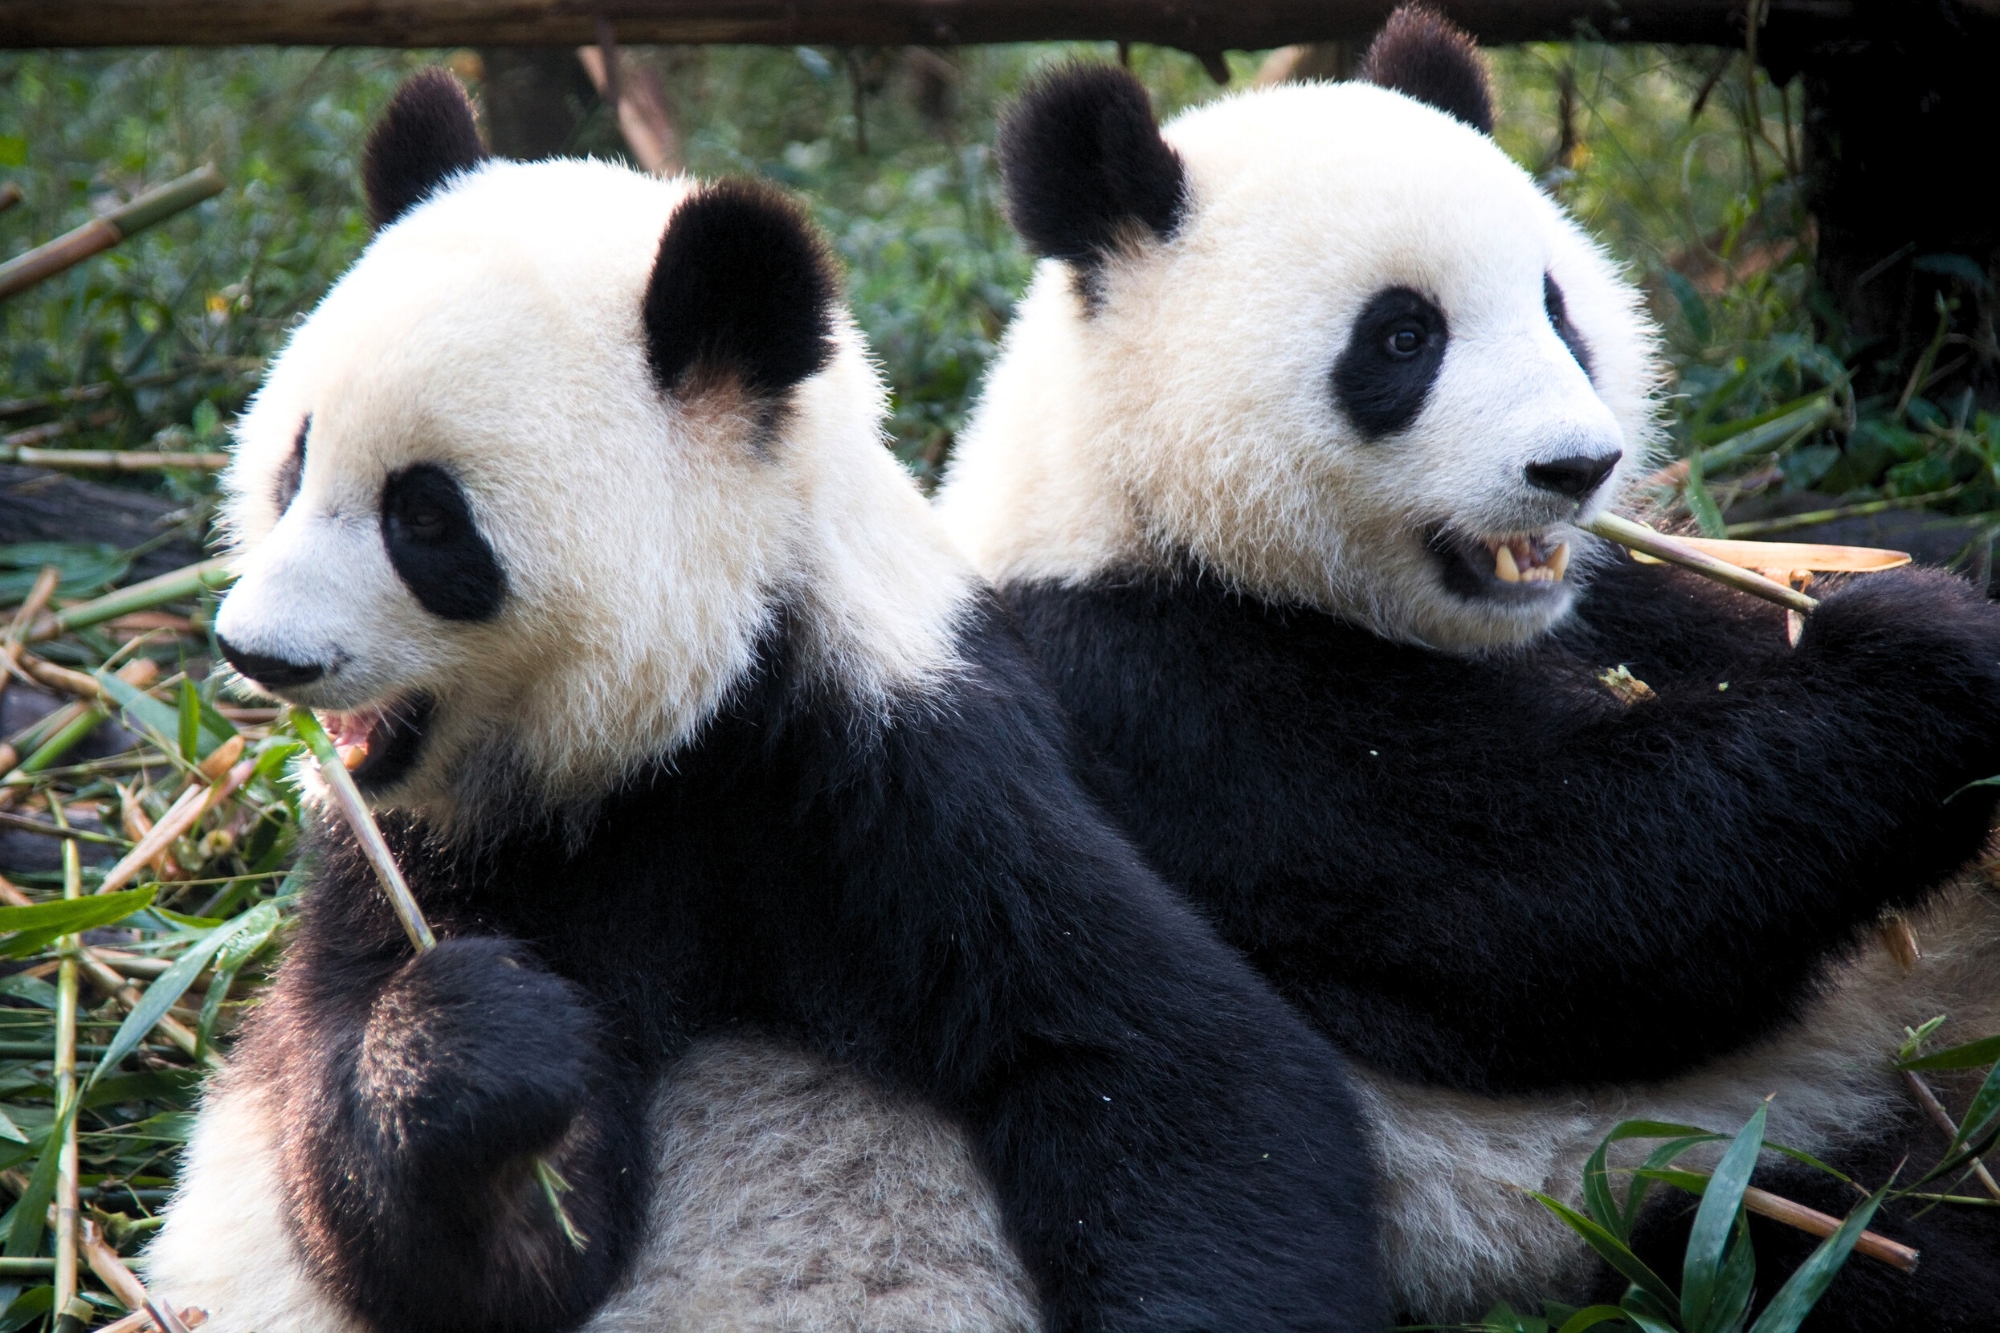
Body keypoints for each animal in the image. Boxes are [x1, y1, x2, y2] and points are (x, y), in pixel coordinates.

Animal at [140, 70, 1386, 1333]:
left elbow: (1176, 1070)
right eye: (294, 464)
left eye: (425, 518)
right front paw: (478, 1044)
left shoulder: (895, 772)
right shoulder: (432, 854)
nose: (259, 652)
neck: (675, 734)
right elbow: (434, 1232)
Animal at [933, 10, 2000, 1327]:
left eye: (1556, 308)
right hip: (1682, 1197)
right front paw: (1930, 655)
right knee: (1867, 1246)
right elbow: (1558, 898)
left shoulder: (1615, 601)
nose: (1575, 468)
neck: (1134, 500)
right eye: (1403, 337)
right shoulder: (1158, 697)